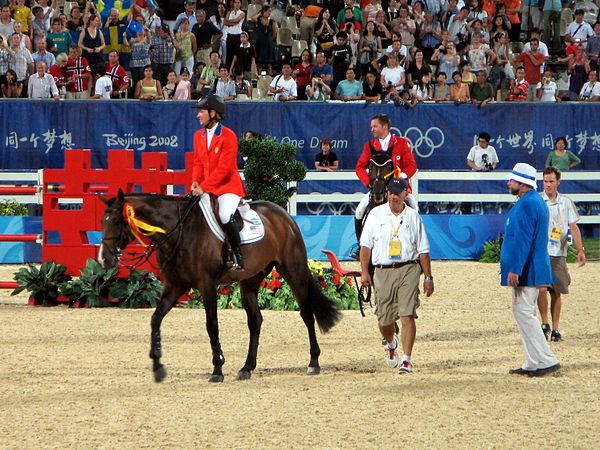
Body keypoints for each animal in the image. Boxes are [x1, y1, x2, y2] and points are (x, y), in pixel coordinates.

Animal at [101, 190, 340, 384]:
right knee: (255, 320)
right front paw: (158, 367)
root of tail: (285, 216)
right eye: (104, 221)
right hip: (250, 279)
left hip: (292, 270)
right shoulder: (175, 286)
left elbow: (212, 325)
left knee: (306, 313)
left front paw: (217, 368)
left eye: (117, 221)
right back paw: (247, 368)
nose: (104, 259)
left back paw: (313, 363)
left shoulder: (207, 285)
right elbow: (155, 320)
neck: (180, 231)